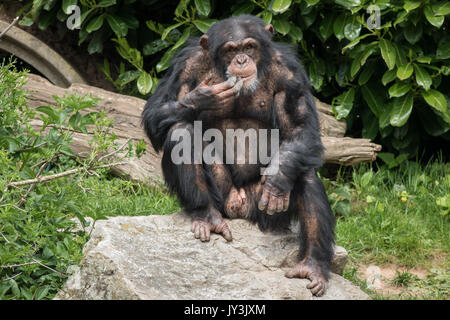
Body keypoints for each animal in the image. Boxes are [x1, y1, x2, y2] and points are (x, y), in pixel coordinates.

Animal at [142, 14, 336, 296]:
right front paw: (202, 99)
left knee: (306, 174)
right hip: (223, 195)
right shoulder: (186, 64)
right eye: (230, 50)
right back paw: (207, 217)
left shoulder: (290, 72)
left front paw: (278, 179)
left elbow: (301, 127)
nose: (241, 60)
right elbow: (156, 111)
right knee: (180, 132)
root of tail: (241, 209)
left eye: (249, 47)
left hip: (265, 211)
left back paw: (312, 266)